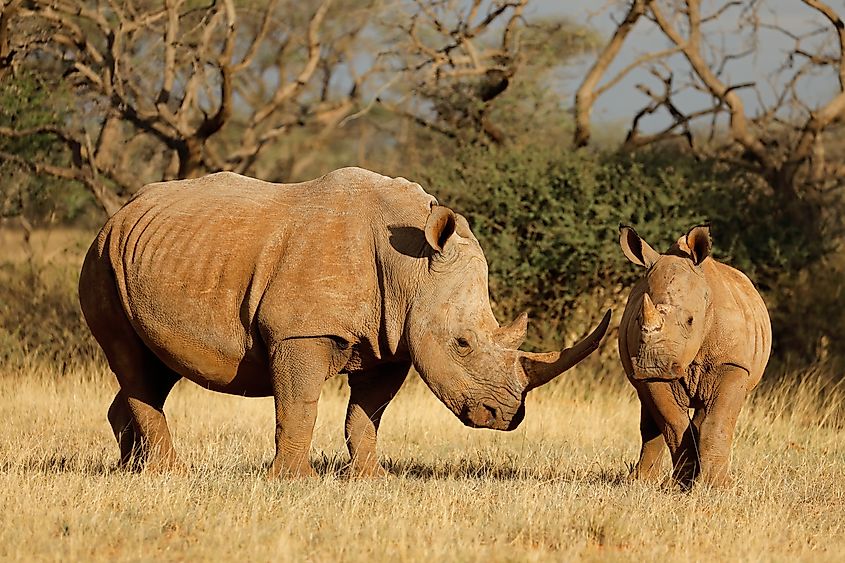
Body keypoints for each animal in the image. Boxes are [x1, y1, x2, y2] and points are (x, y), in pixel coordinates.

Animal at [79, 167, 610, 478]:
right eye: (461, 343)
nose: (505, 417)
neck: (412, 266)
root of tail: (121, 210)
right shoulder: (300, 331)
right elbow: (299, 407)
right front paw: (293, 481)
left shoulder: (393, 340)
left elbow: (367, 414)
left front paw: (370, 479)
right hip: (102, 255)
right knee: (131, 359)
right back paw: (168, 473)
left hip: (153, 255)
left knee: (155, 368)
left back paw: (131, 470)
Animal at [617, 225, 771, 487]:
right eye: (637, 319)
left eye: (690, 320)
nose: (653, 366)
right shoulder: (656, 374)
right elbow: (674, 423)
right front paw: (680, 484)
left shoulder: (733, 364)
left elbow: (718, 422)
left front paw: (715, 486)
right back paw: (639, 482)